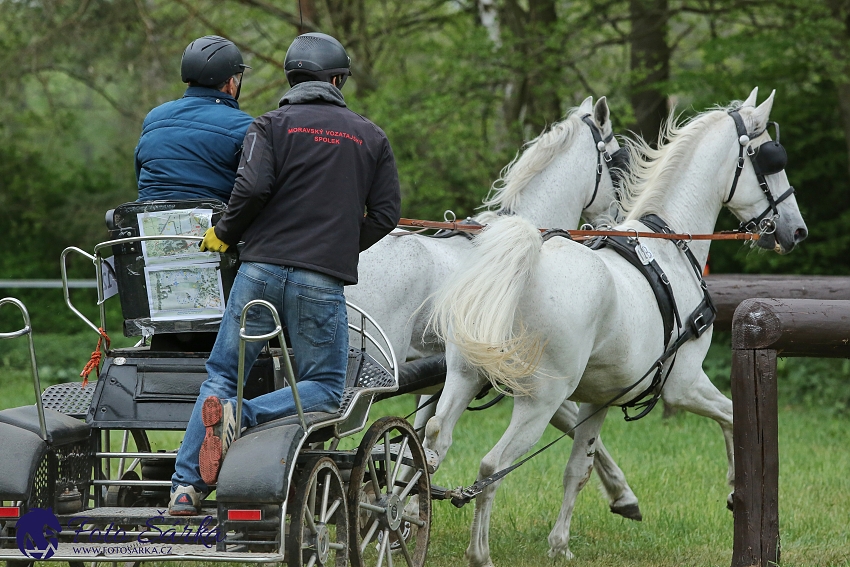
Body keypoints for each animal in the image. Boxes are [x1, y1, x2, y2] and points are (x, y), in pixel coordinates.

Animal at [348, 96, 640, 520]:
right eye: (615, 160)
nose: (615, 224)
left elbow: (421, 440)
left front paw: (411, 500)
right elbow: (575, 425)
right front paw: (623, 494)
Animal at [428, 89, 804, 564]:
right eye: (770, 158)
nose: (797, 230)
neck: (671, 246)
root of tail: (523, 269)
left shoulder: (599, 398)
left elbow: (578, 469)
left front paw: (560, 544)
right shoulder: (684, 384)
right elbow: (733, 416)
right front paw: (737, 490)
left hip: (463, 378)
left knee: (432, 443)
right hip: (538, 402)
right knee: (492, 467)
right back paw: (479, 552)